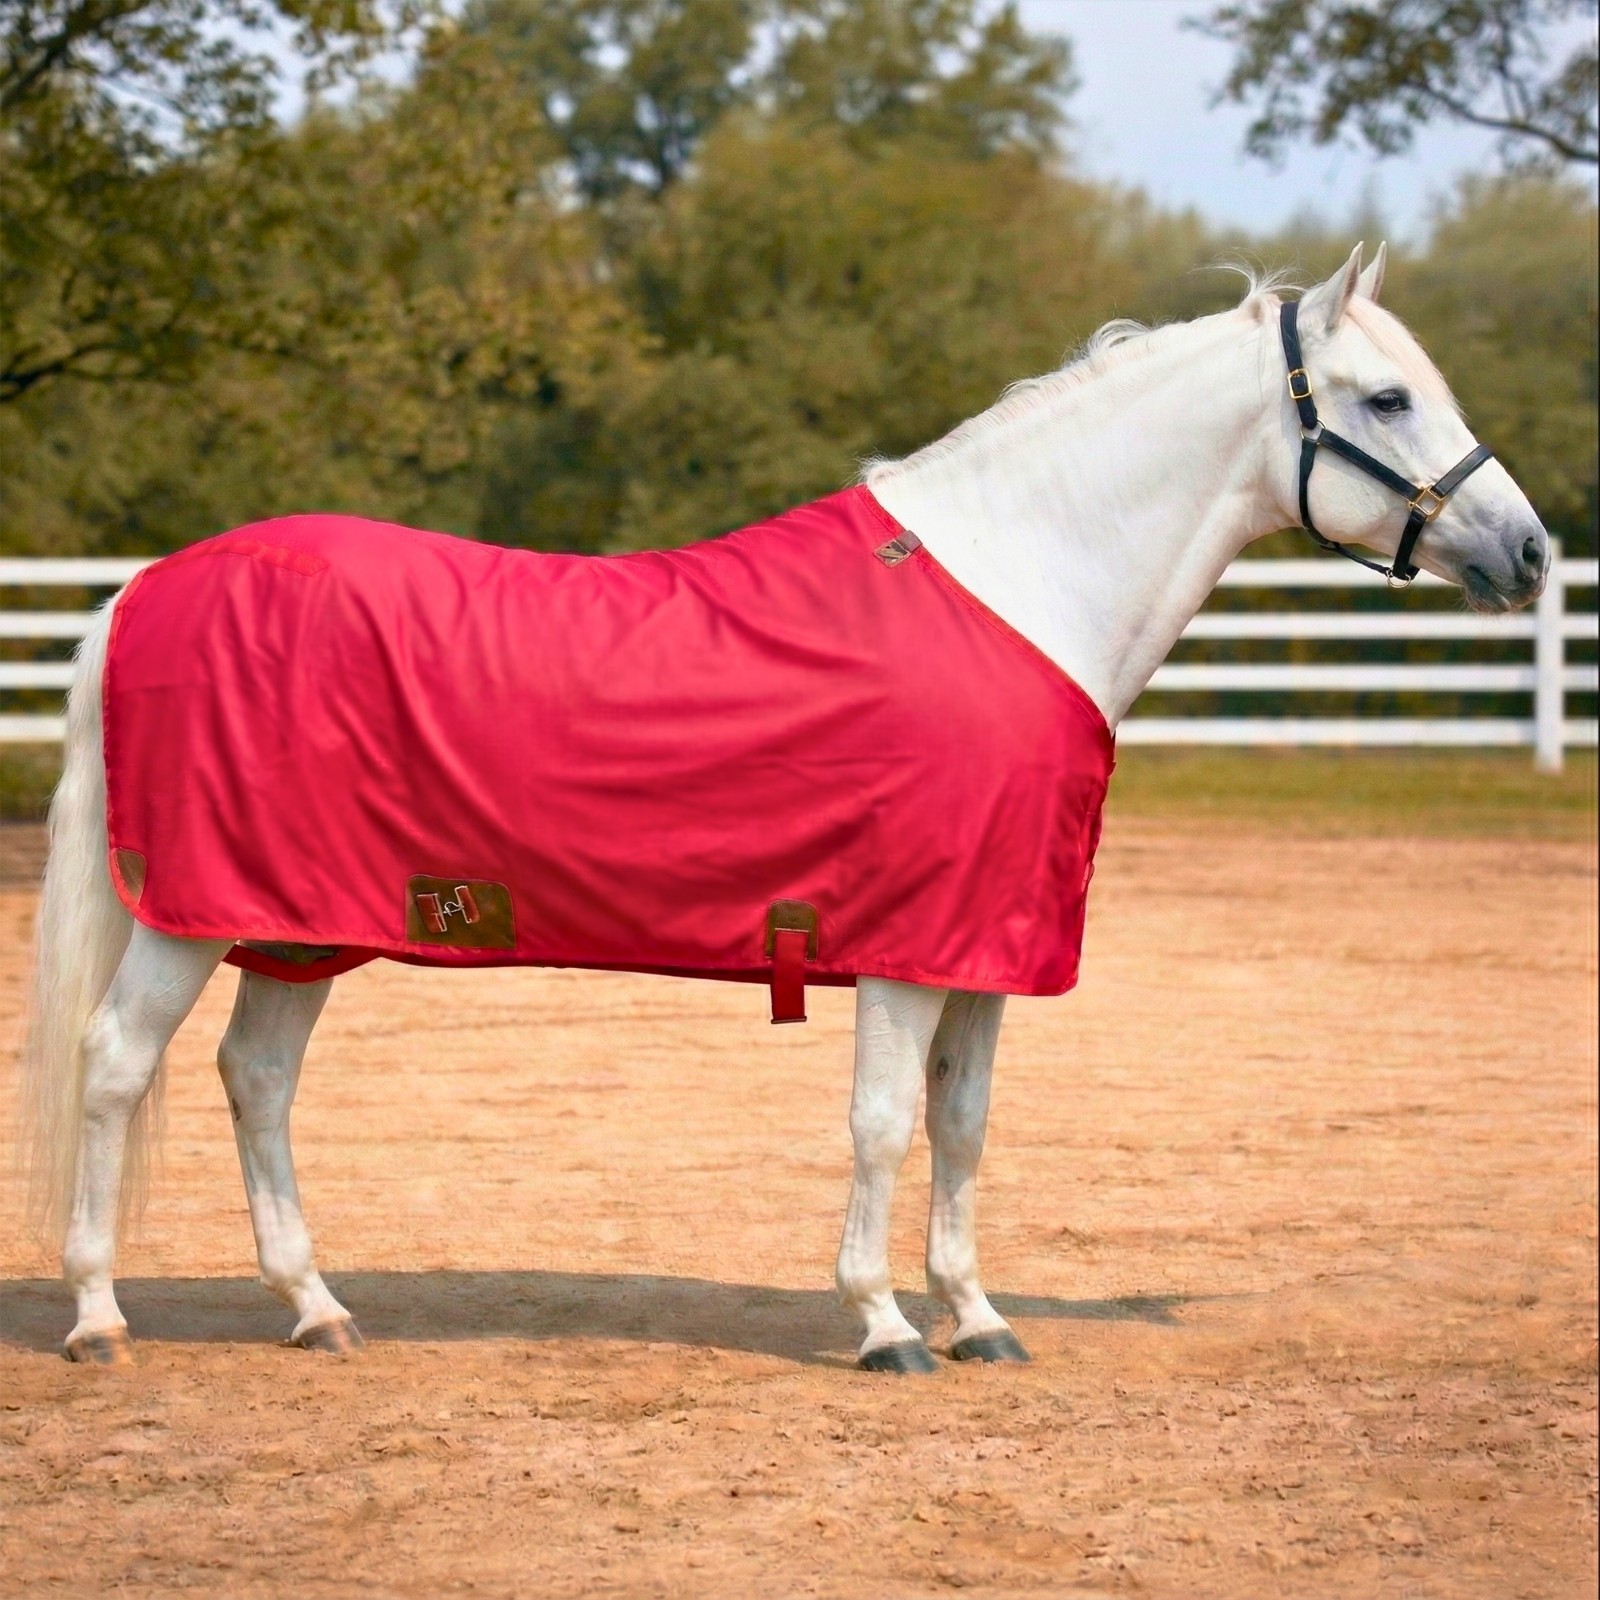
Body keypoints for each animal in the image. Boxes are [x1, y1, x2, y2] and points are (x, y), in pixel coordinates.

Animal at [18, 244, 1549, 1371]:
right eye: (1386, 399)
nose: (1530, 552)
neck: (1018, 582)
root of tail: (148, 585)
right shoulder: (904, 945)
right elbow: (881, 1123)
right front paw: (881, 1326)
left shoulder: (983, 945)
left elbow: (963, 1124)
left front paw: (977, 1318)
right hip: (188, 916)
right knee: (116, 1067)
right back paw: (98, 1318)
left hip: (300, 920)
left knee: (256, 1079)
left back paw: (317, 1309)